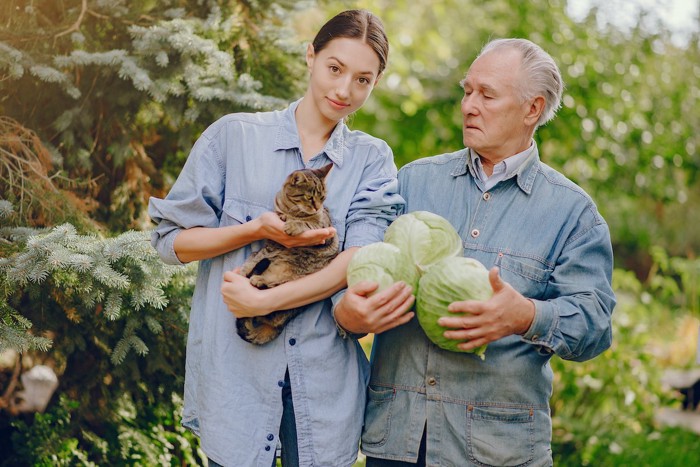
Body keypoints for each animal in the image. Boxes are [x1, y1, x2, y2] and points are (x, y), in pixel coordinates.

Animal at [237, 163, 340, 346]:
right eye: (309, 197)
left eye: (322, 198)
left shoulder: (324, 229)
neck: (291, 210)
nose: (317, 207)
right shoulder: (272, 242)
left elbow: (306, 223)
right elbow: (259, 255)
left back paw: (259, 280)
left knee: (272, 288)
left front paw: (294, 224)